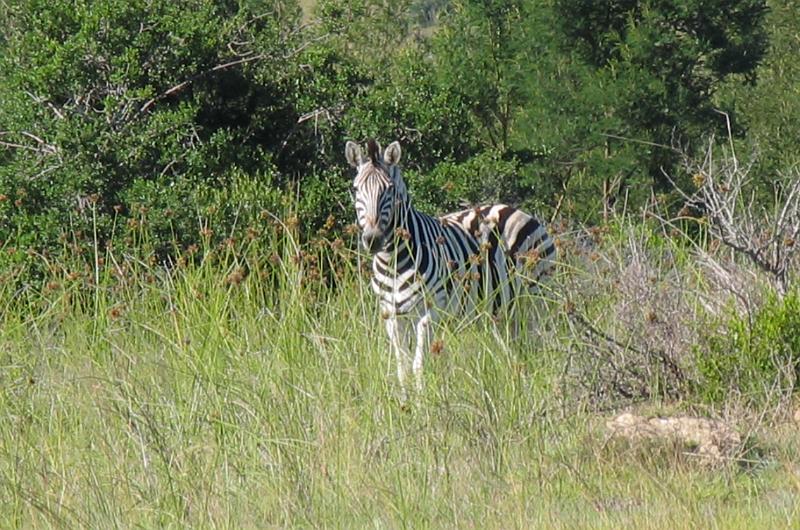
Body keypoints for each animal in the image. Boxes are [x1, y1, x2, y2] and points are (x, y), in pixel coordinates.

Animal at [344, 138, 556, 398]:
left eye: (390, 190)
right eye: (356, 190)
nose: (373, 240)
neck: (393, 260)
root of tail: (514, 209)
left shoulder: (430, 311)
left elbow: (418, 365)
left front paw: (422, 402)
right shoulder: (391, 314)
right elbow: (401, 366)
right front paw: (405, 402)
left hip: (536, 297)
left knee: (539, 343)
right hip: (502, 310)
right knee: (515, 351)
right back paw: (517, 388)